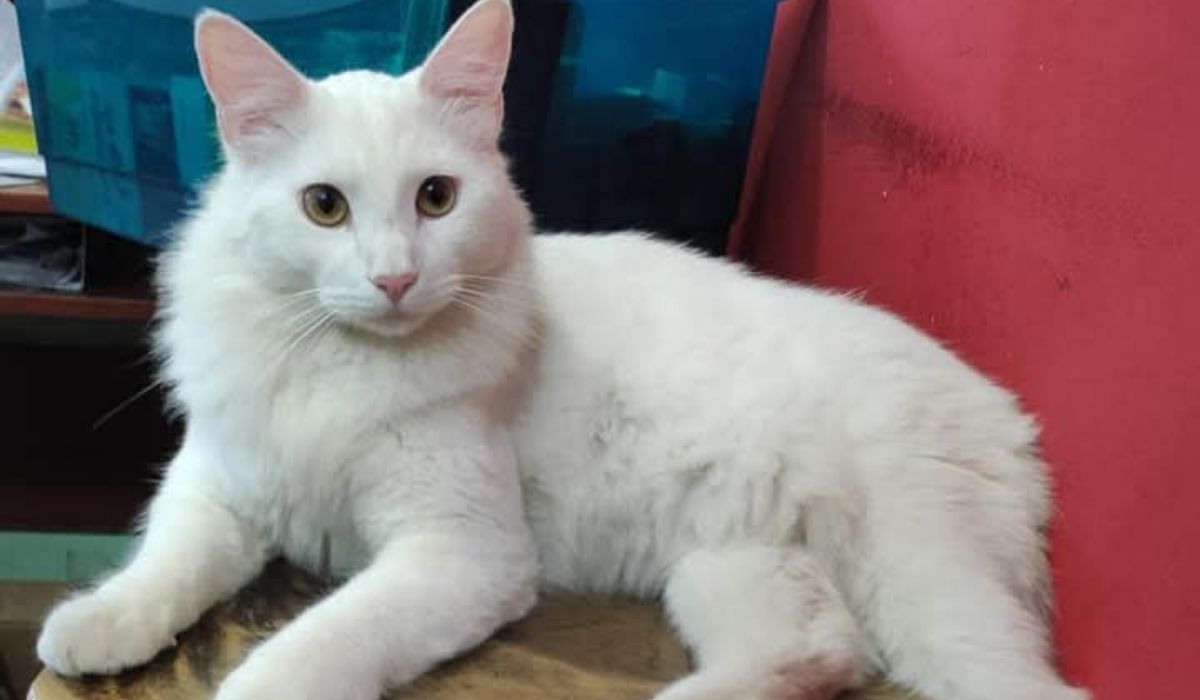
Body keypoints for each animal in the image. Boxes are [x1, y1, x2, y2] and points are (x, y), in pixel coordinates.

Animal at [36, 2, 1089, 700]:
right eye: (323, 207)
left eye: (436, 199)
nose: (394, 280)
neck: (341, 361)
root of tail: (1002, 409)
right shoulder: (221, 483)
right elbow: (164, 563)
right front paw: (97, 623)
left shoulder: (462, 555)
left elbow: (311, 649)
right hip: (732, 566)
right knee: (819, 655)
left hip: (922, 584)